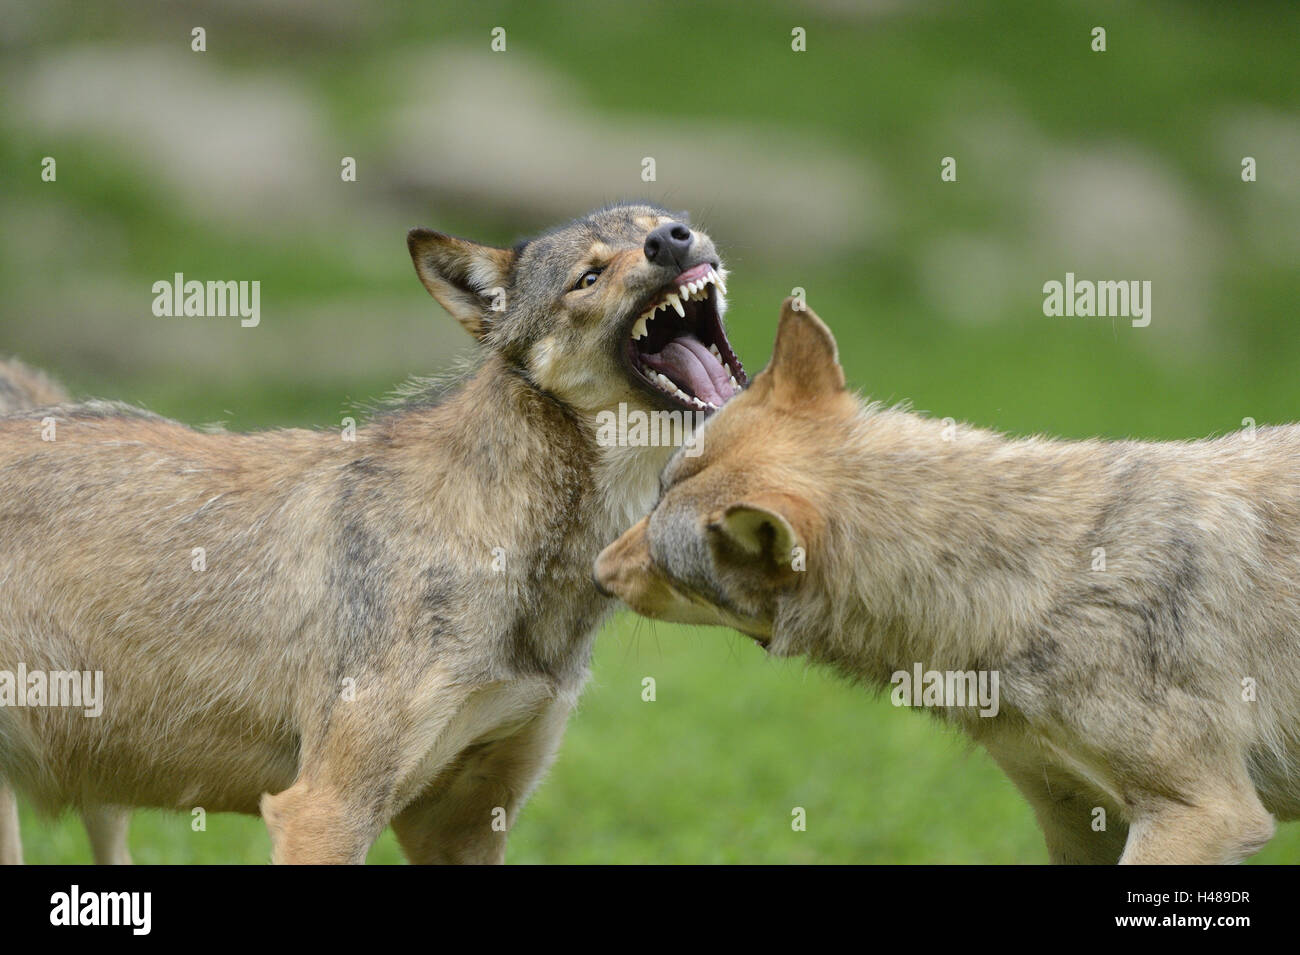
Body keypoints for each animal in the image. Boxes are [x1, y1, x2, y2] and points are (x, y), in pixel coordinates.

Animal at [595, 298, 1300, 864]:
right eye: (655, 496)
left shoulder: (1206, 816)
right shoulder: (1077, 820)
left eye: (663, 556)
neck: (1033, 589)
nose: (596, 572)